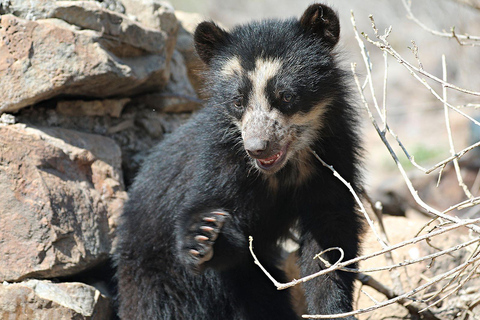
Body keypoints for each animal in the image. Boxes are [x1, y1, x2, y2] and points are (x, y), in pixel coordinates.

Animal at [116, 3, 362, 320]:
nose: (257, 148)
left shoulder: (333, 155)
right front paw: (203, 236)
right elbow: (212, 214)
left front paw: (333, 308)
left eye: (286, 96)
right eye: (237, 101)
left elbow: (330, 237)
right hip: (156, 279)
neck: (284, 168)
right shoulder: (220, 161)